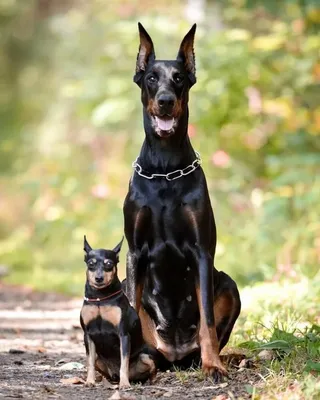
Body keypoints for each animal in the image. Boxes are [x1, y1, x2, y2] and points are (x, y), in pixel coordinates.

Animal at [79, 236, 155, 390]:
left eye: (109, 264)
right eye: (91, 264)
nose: (99, 278)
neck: (100, 299)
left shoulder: (123, 334)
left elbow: (124, 363)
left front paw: (124, 384)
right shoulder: (87, 335)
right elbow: (89, 362)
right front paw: (90, 381)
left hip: (146, 358)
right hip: (99, 359)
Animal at [124, 22, 241, 382]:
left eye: (178, 78)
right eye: (151, 78)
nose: (165, 100)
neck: (165, 169)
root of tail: (174, 356)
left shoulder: (202, 251)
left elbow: (207, 320)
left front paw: (213, 365)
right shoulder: (134, 252)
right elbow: (130, 310)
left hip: (228, 283)